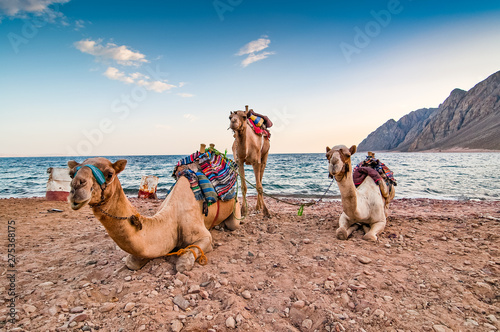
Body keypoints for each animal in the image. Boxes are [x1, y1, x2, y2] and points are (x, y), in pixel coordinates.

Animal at [67, 156, 241, 272]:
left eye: (110, 174)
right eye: (71, 174)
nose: (76, 187)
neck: (171, 218)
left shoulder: (204, 237)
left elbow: (183, 263)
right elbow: (131, 262)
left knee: (233, 223)